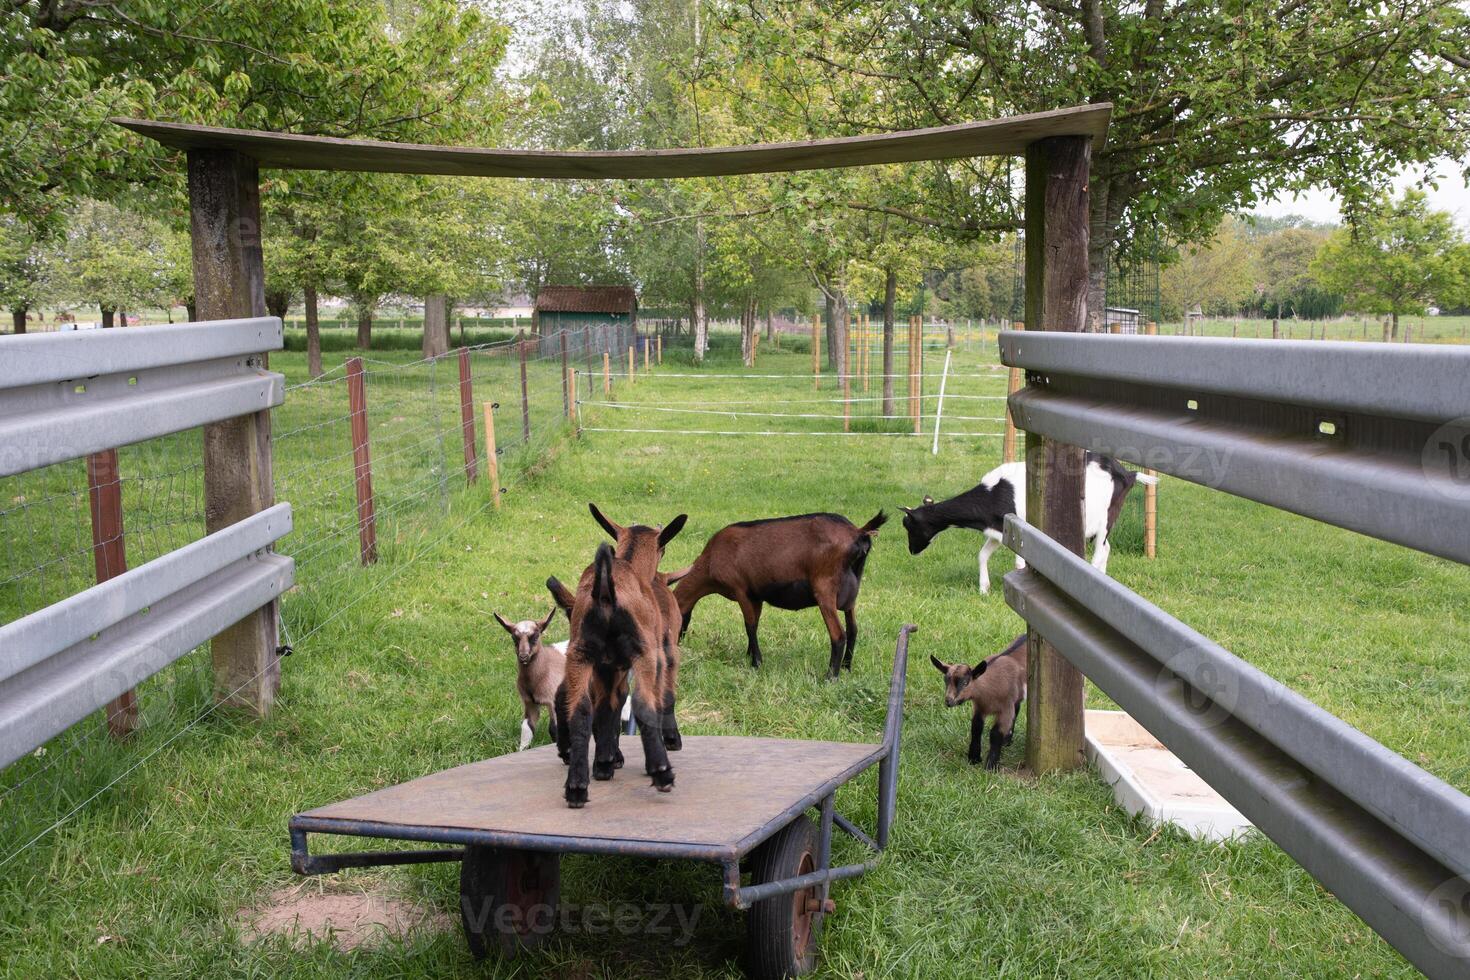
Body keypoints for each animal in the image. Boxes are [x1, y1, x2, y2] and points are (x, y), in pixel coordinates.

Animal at [673, 511, 882, 678]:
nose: (676, 645)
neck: (710, 562)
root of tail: (858, 533)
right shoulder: (756, 595)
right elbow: (754, 624)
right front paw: (749, 655)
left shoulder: (741, 589)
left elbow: (749, 625)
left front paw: (756, 662)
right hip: (851, 594)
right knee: (853, 629)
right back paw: (846, 668)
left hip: (825, 589)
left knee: (839, 634)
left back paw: (831, 677)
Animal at [899, 452, 1152, 590]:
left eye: (910, 526)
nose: (911, 551)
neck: (993, 493)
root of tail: (1127, 473)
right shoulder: (997, 530)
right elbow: (982, 555)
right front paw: (984, 588)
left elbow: (1019, 564)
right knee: (1106, 548)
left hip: (1107, 516)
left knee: (1100, 551)